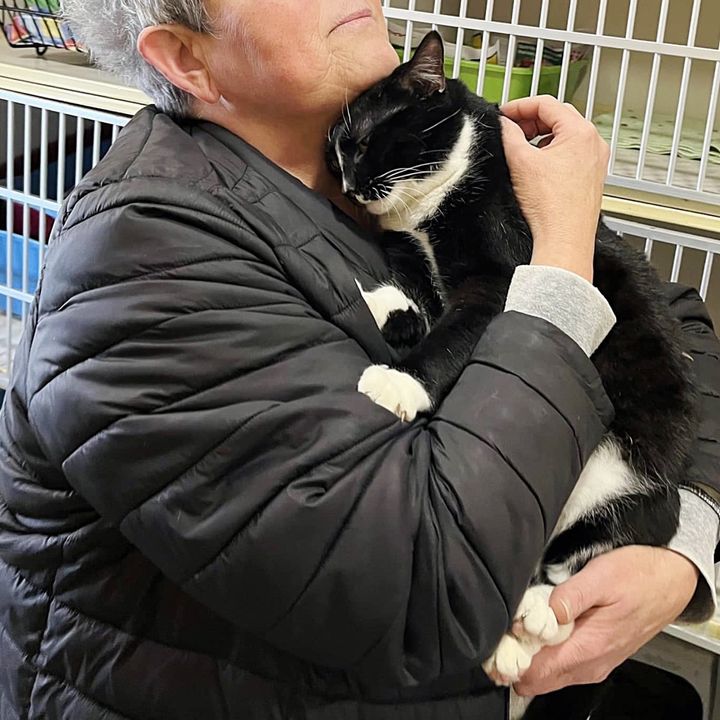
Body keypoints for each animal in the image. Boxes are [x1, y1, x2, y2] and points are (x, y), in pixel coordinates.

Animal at [328, 31, 696, 716]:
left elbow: (456, 333)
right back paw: (511, 641)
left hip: (631, 482)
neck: (427, 208)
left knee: (575, 558)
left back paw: (537, 619)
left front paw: (399, 381)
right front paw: (387, 308)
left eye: (362, 142)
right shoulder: (415, 258)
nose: (348, 185)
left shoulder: (501, 273)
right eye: (334, 151)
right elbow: (416, 295)